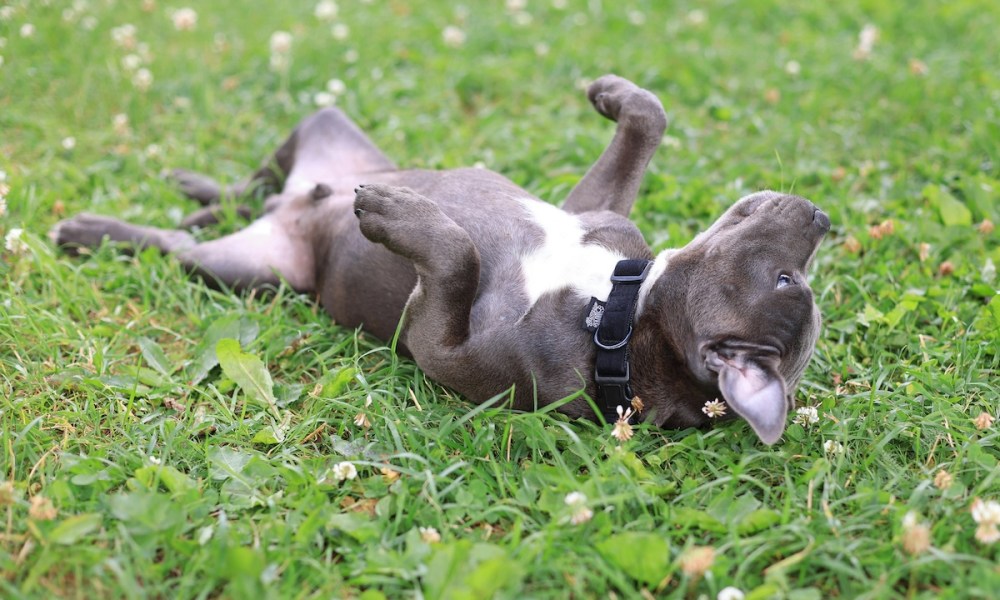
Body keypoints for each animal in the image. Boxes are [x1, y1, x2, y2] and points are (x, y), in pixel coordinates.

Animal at [48, 75, 828, 442]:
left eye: (787, 278)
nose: (822, 217)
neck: (612, 307)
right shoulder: (591, 209)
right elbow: (647, 121)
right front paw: (613, 95)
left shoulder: (438, 341)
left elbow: (455, 255)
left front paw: (395, 215)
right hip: (324, 128)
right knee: (251, 188)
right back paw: (197, 192)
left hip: (241, 269)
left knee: (181, 245)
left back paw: (91, 230)